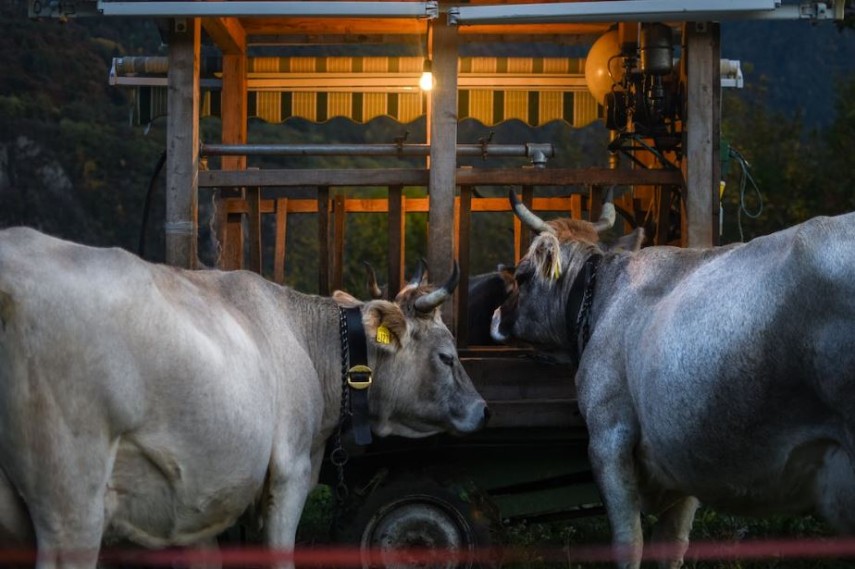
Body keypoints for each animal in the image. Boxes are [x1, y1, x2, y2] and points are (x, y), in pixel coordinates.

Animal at [0, 226, 488, 568]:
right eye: (447, 356)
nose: (483, 409)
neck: (304, 338)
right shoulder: (290, 471)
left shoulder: (199, 498)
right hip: (71, 504)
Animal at [492, 192, 855, 568]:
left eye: (522, 275)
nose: (495, 316)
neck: (606, 299)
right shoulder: (682, 451)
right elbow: (672, 543)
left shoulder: (608, 437)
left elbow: (629, 542)